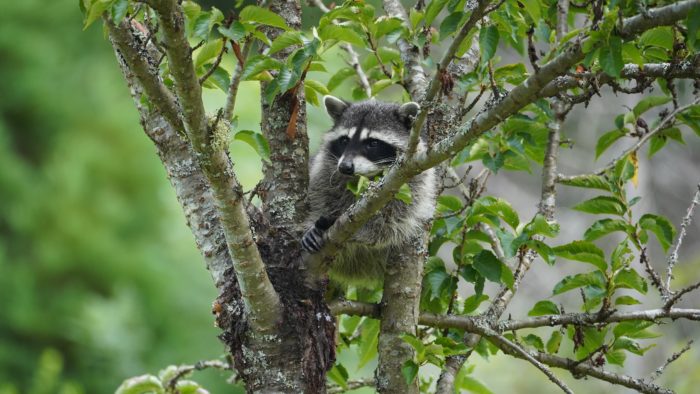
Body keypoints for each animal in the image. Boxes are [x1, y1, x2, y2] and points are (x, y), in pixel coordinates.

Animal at [302, 96, 434, 284]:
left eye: (373, 143)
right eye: (344, 140)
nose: (345, 167)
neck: (367, 177)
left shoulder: (412, 180)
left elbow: (389, 222)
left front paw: (360, 233)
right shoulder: (324, 170)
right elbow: (320, 196)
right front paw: (313, 224)